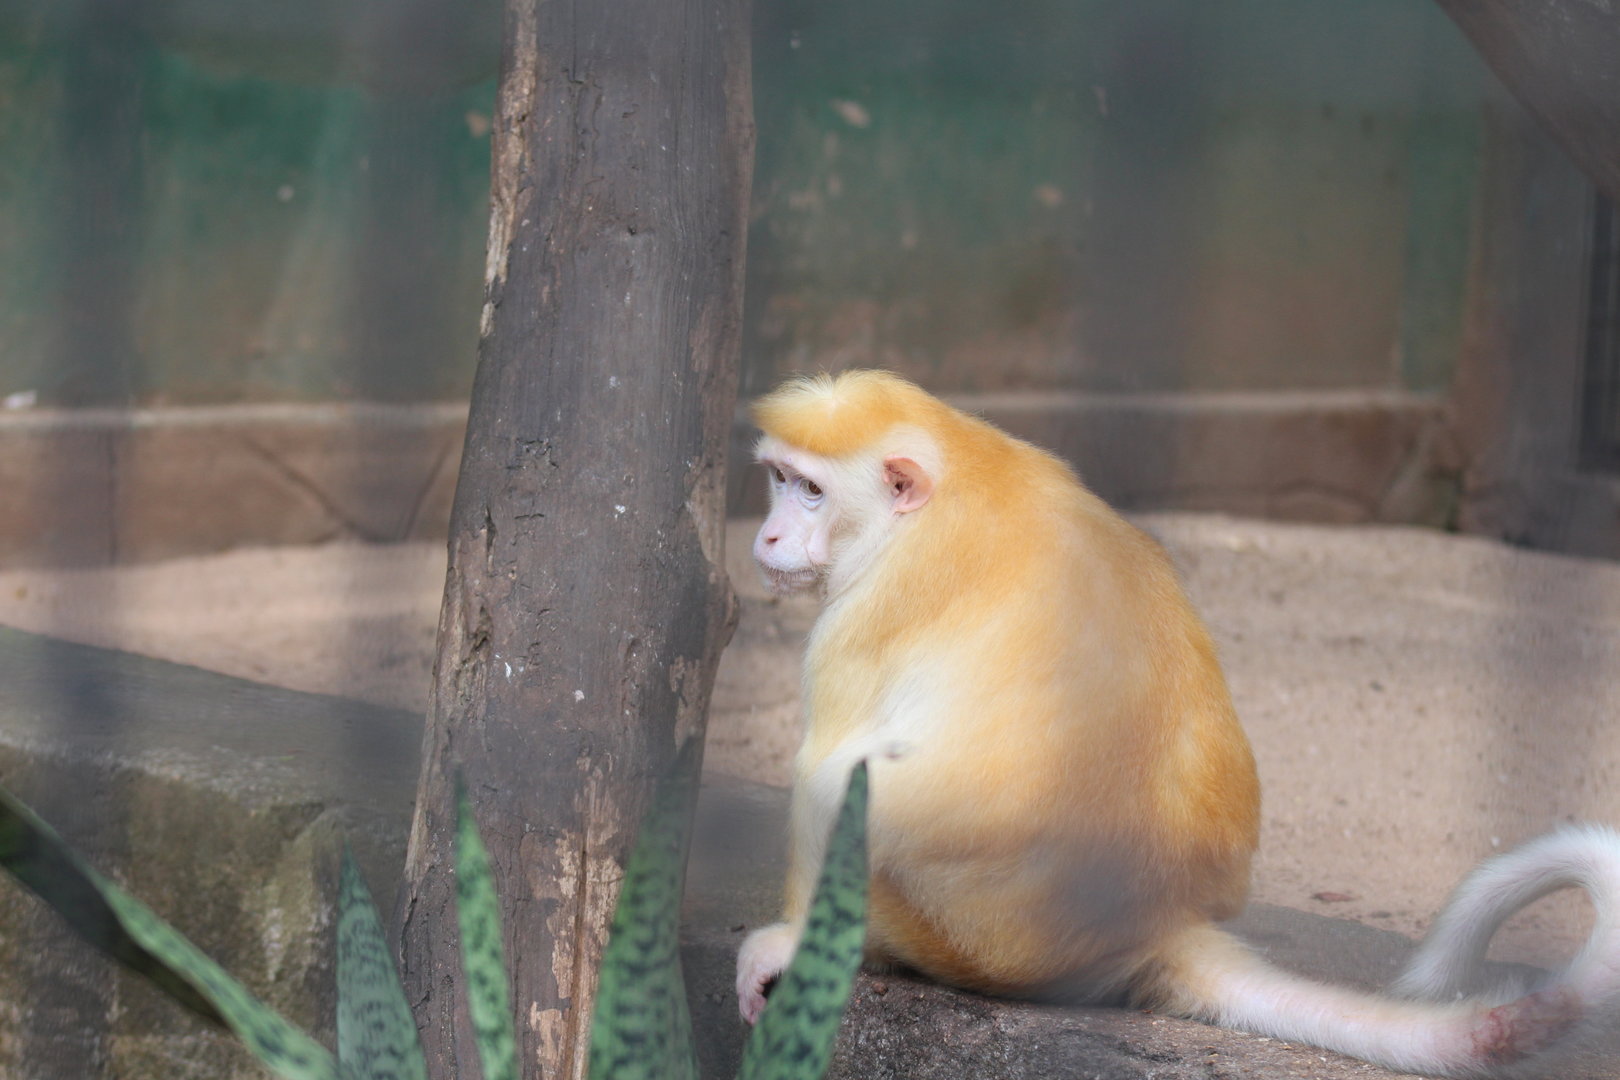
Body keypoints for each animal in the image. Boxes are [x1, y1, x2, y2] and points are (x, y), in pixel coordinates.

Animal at [733, 369, 1620, 1078]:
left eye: (810, 491)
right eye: (779, 479)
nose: (768, 535)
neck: (957, 474)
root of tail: (1151, 927)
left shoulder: (864, 616)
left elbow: (829, 770)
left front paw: (787, 947)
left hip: (955, 935)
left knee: (839, 779)